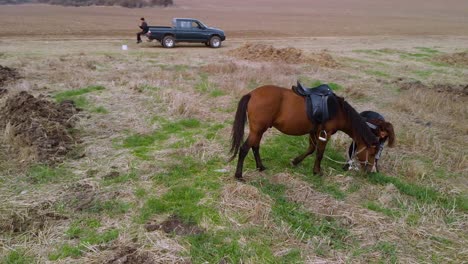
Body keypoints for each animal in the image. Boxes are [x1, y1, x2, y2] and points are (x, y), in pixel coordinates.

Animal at [229, 84, 380, 182]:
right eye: (372, 153)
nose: (369, 172)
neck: (338, 110)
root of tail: (252, 94)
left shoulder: (314, 131)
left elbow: (311, 149)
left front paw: (295, 161)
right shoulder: (325, 133)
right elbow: (319, 153)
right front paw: (317, 172)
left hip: (259, 130)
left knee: (255, 147)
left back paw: (260, 167)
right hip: (257, 130)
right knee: (244, 149)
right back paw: (239, 175)